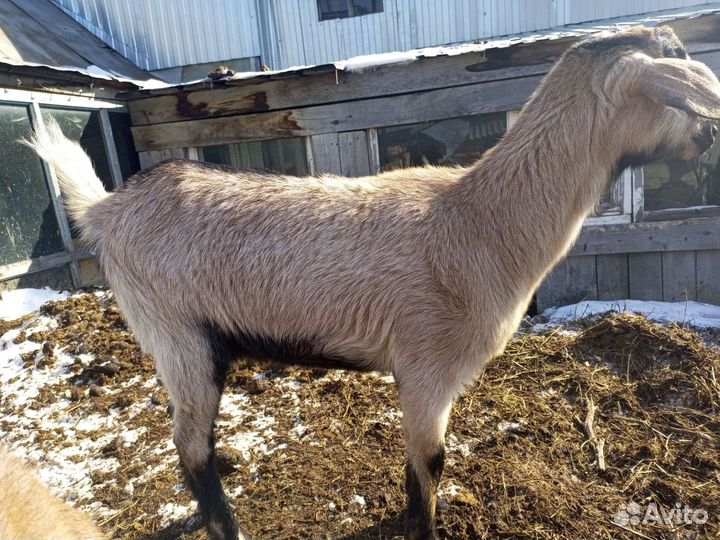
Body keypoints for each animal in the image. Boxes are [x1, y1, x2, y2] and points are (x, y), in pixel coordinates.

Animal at [26, 26, 720, 540]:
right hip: (178, 334)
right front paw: (425, 529)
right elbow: (431, 462)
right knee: (190, 447)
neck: (481, 220)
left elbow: (416, 468)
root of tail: (108, 209)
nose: (710, 134)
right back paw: (227, 525)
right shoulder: (428, 364)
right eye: (679, 63)